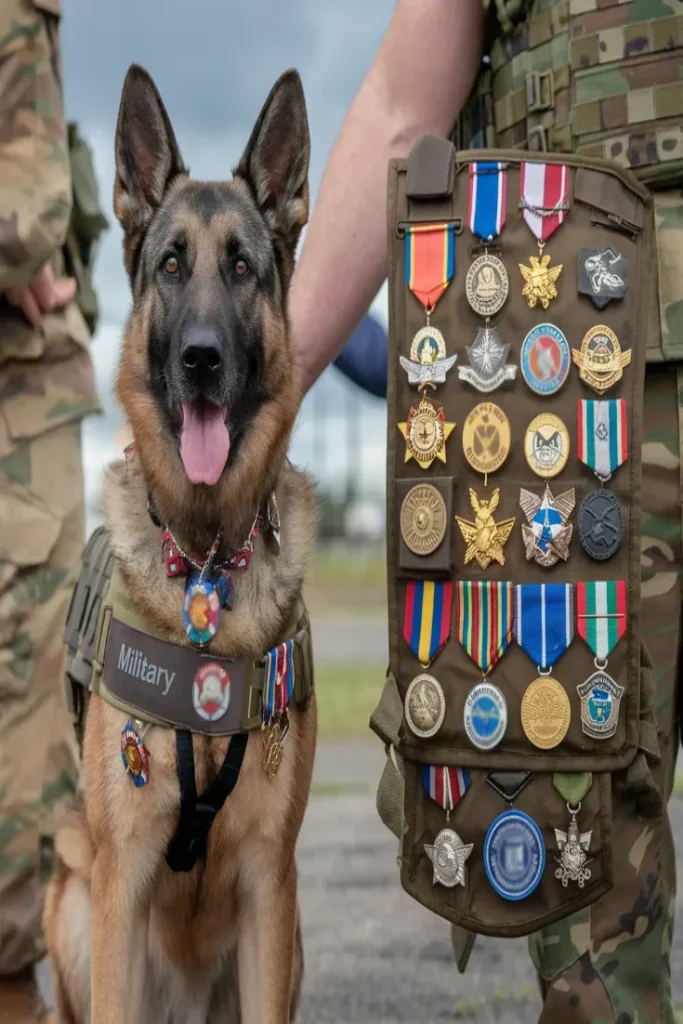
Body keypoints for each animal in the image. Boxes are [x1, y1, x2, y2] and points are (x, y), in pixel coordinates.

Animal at [44, 64, 317, 1024]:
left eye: (240, 267)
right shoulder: (119, 883)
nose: (200, 359)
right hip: (73, 900)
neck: (202, 564)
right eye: (171, 265)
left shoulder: (271, 889)